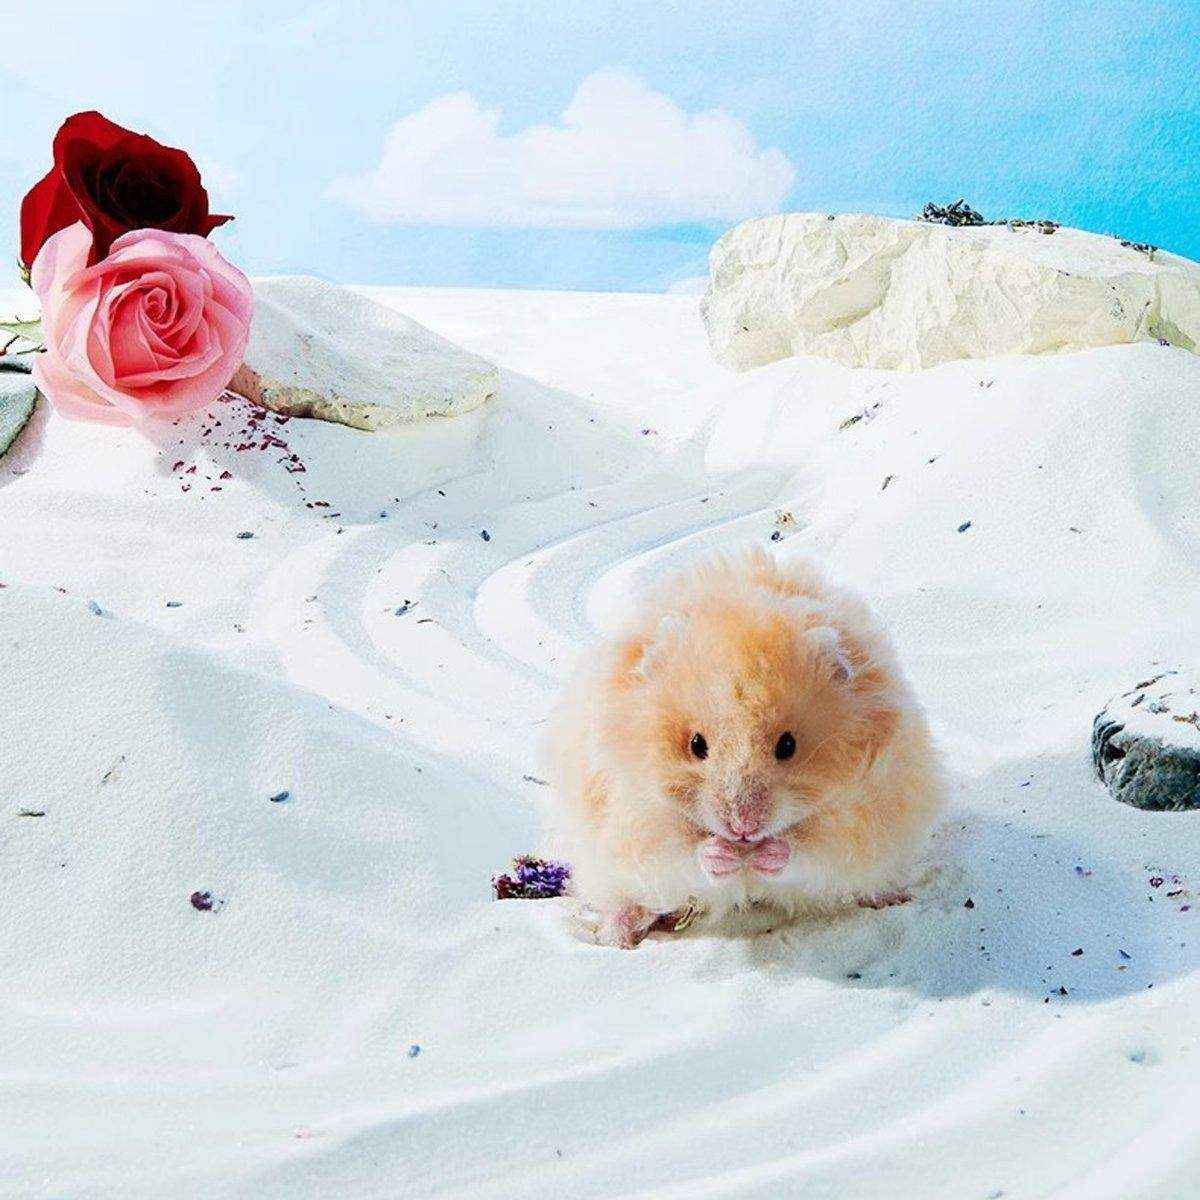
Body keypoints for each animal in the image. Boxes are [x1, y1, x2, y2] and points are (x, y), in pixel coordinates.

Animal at [543, 548, 944, 947]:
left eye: (788, 745)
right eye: (696, 744)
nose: (742, 828)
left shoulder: (860, 816)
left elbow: (809, 850)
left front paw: (765, 854)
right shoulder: (637, 818)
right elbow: (681, 853)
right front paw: (723, 855)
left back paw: (893, 897)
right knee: (626, 901)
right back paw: (616, 938)